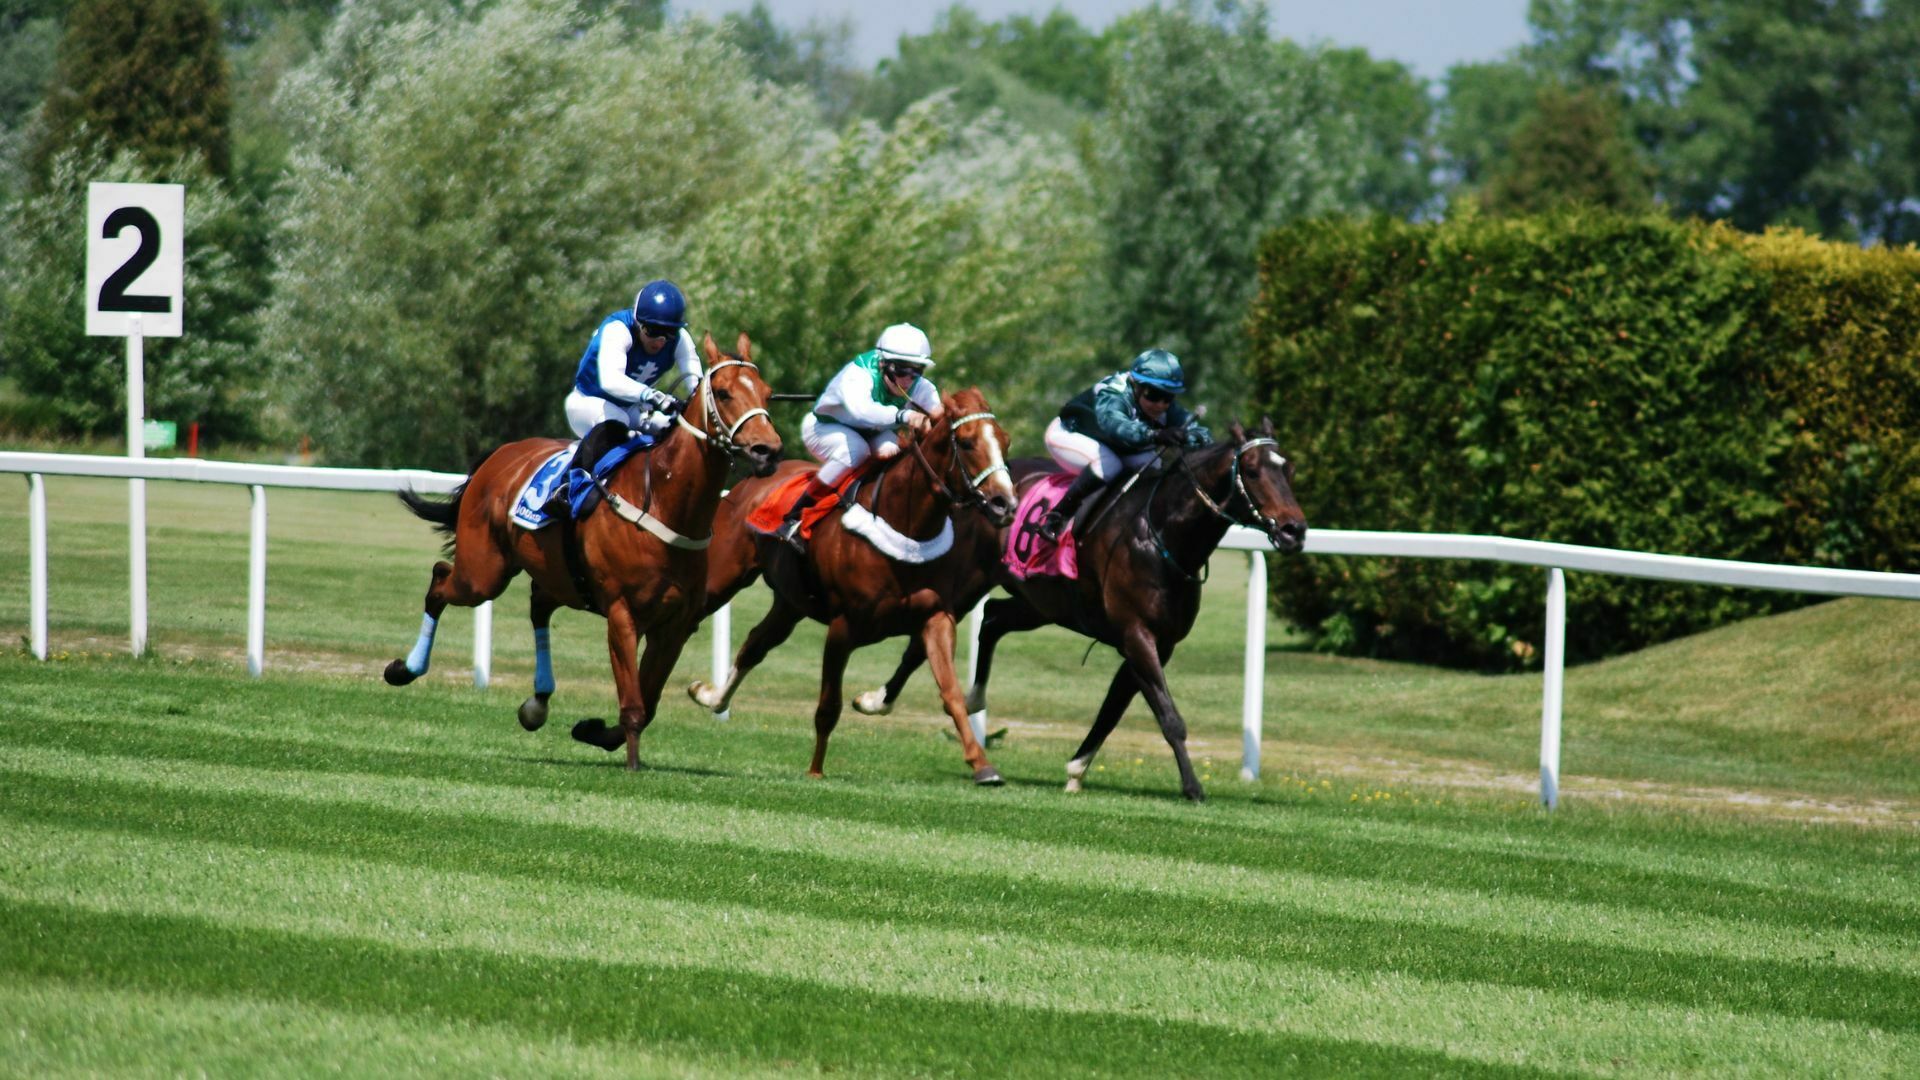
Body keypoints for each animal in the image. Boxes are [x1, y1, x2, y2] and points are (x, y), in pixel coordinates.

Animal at [385, 332, 783, 768]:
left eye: (766, 392)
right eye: (725, 393)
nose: (768, 450)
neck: (664, 501)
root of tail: (500, 455)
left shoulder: (676, 624)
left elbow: (649, 700)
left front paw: (596, 732)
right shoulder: (623, 614)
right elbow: (634, 703)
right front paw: (631, 764)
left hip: (555, 575)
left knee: (538, 606)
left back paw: (537, 703)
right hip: (482, 573)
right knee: (441, 580)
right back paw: (405, 669)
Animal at [687, 386, 1021, 780]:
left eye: (1005, 440)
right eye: (967, 442)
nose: (1005, 504)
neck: (904, 526)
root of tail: (751, 481)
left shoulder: (936, 617)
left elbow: (950, 691)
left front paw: (982, 765)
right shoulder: (842, 627)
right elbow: (828, 706)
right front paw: (816, 771)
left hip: (790, 603)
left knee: (755, 644)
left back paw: (709, 696)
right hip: (722, 579)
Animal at [856, 420, 1305, 799]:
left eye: (1288, 469)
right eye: (1252, 470)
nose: (1294, 530)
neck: (1162, 533)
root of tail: (979, 491)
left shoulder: (1156, 643)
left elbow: (1112, 709)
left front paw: (1076, 770)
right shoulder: (1136, 634)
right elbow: (1168, 716)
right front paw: (1193, 788)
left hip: (1041, 602)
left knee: (994, 618)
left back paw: (973, 697)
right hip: (967, 582)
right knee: (924, 640)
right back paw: (877, 700)